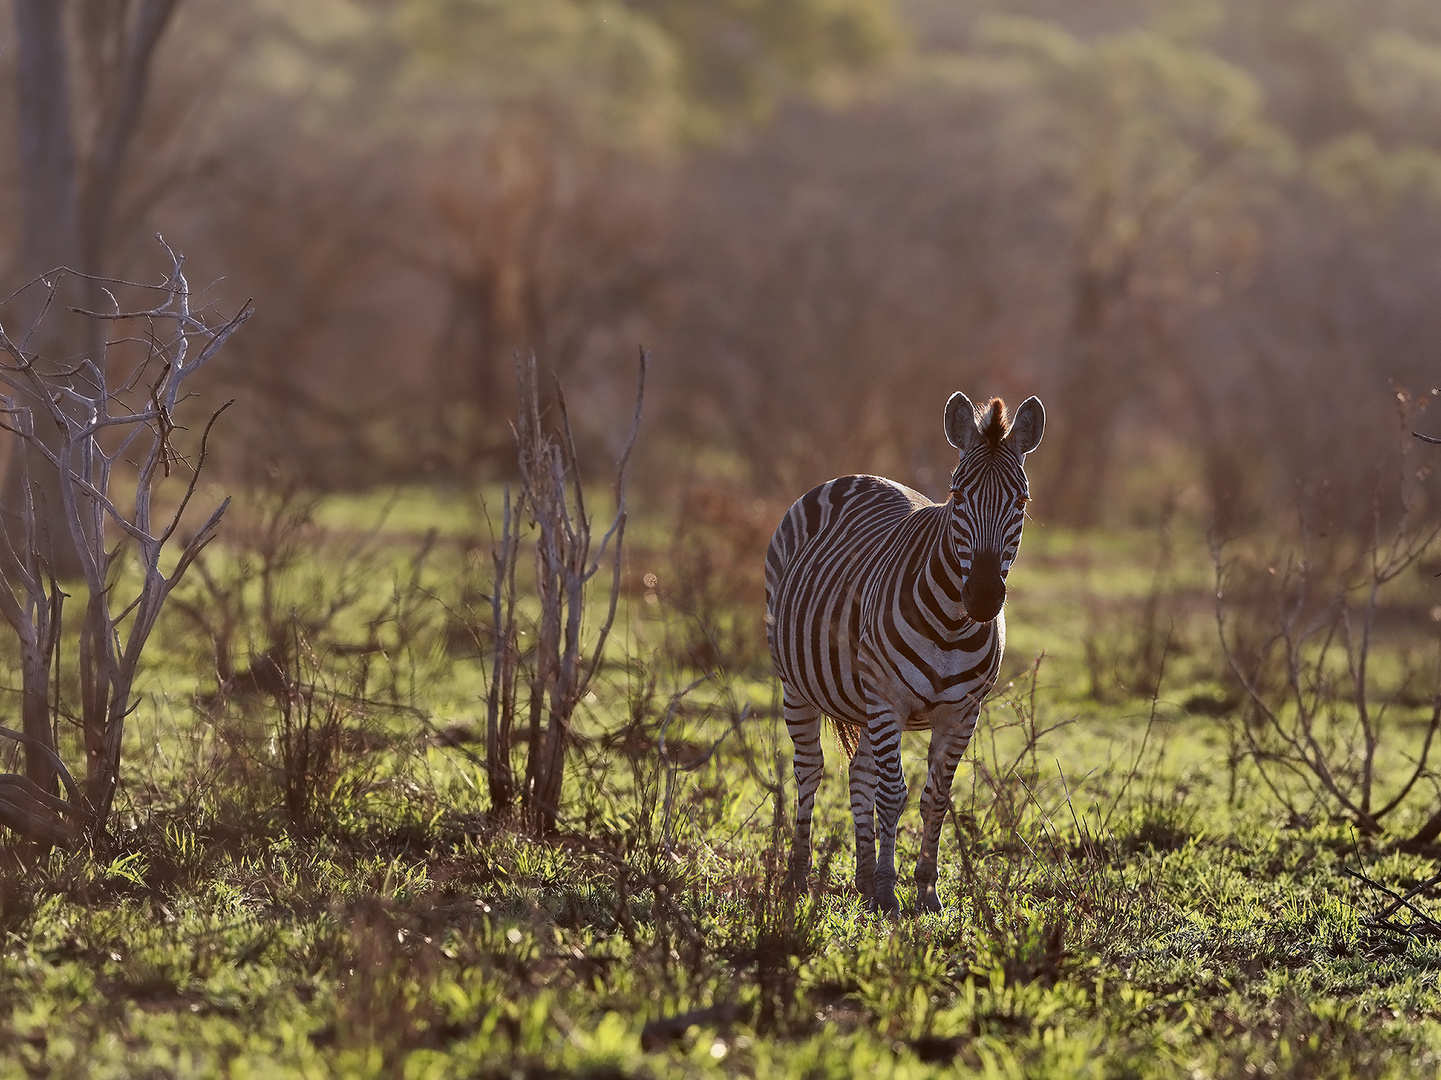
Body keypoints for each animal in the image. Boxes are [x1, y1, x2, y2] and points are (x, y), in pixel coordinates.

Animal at [766, 392, 1049, 917]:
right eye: (957, 496)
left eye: (1020, 502)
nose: (983, 596)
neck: (953, 624)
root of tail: (852, 476)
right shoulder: (888, 699)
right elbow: (893, 794)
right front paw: (887, 891)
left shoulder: (962, 714)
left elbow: (935, 798)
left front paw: (924, 889)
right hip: (800, 686)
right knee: (810, 770)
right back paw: (798, 876)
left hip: (862, 701)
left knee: (858, 772)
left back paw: (859, 878)